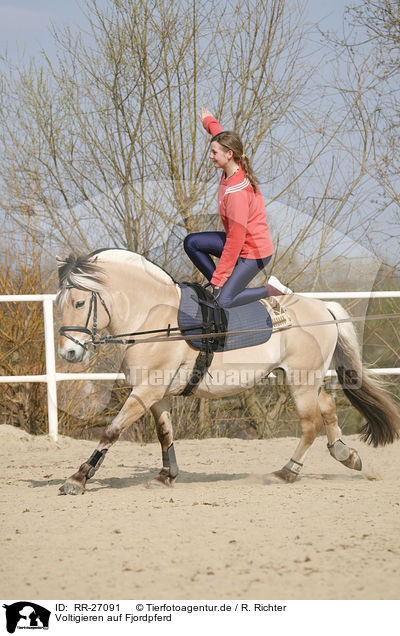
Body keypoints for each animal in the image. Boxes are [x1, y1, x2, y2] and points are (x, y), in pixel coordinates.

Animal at [56, 247, 400, 492]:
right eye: (58, 304)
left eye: (79, 303)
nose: (69, 352)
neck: (153, 317)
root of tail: (323, 306)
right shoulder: (156, 393)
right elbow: (165, 433)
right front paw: (166, 476)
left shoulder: (146, 391)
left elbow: (112, 430)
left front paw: (77, 478)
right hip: (301, 377)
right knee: (327, 408)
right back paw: (346, 455)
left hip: (301, 380)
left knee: (310, 424)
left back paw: (286, 472)